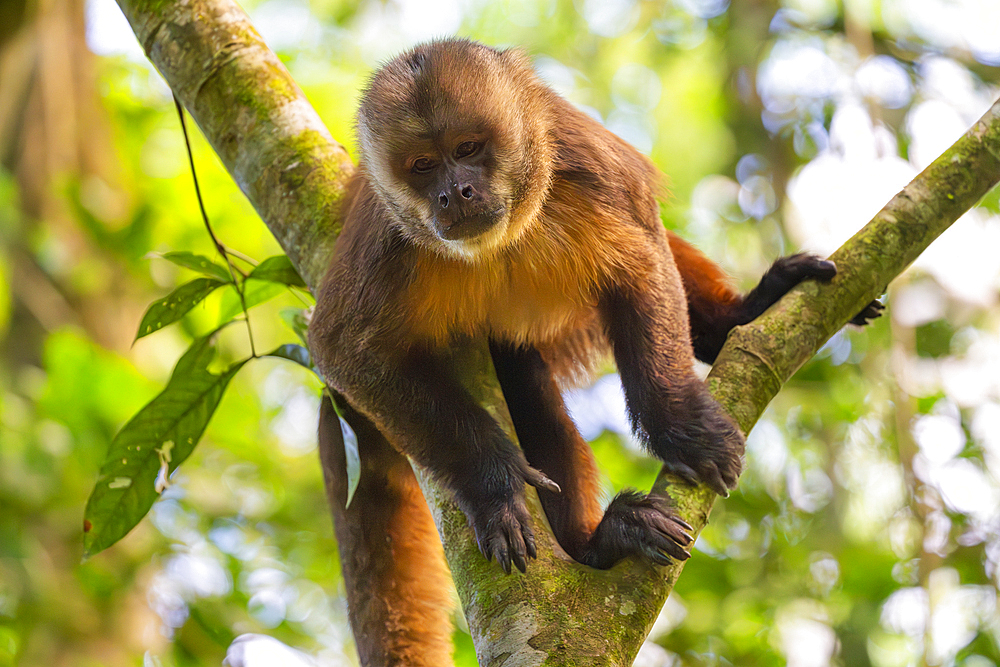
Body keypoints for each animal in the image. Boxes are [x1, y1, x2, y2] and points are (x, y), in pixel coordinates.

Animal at [308, 39, 880, 664]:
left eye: (467, 150)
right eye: (422, 166)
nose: (452, 192)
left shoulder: (585, 165)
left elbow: (641, 256)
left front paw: (680, 425)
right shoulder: (387, 242)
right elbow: (345, 351)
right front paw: (492, 486)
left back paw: (738, 319)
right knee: (522, 382)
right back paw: (599, 546)